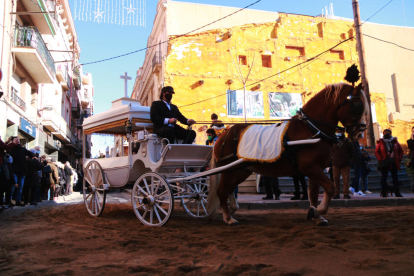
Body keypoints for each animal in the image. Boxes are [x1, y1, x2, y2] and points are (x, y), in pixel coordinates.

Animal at [209, 83, 368, 225]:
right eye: (357, 106)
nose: (359, 134)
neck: (311, 129)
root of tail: (223, 135)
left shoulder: (316, 169)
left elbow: (314, 193)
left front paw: (316, 216)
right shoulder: (309, 168)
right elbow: (330, 187)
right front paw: (317, 211)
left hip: (241, 170)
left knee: (229, 189)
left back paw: (232, 209)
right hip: (228, 170)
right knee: (222, 191)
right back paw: (228, 218)